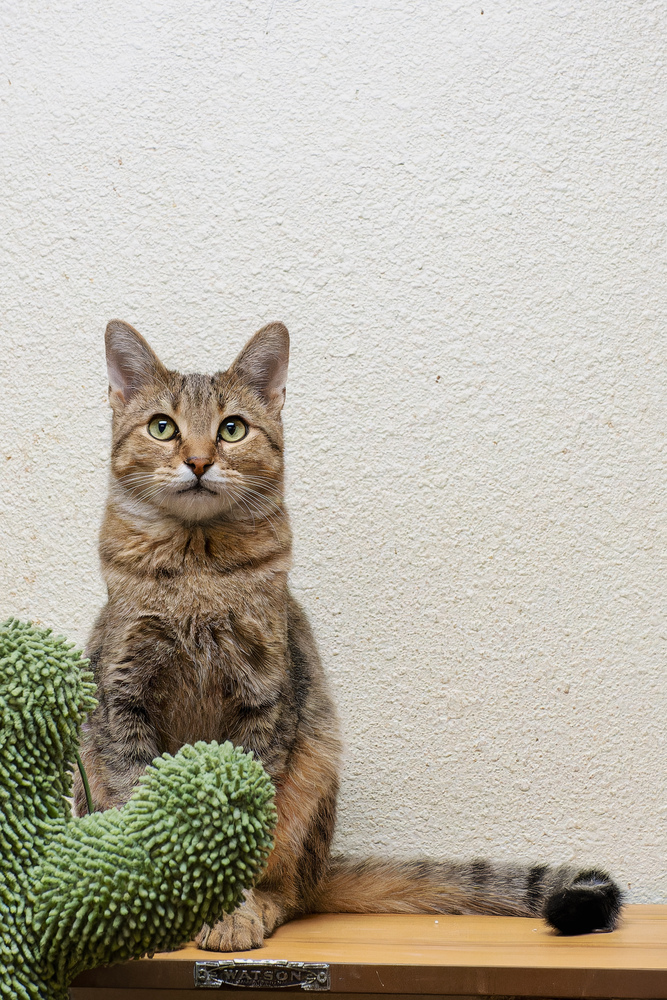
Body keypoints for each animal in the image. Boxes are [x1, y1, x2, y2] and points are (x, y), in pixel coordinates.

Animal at [75, 318, 624, 944]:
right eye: (162, 427)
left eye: (231, 429)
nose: (197, 461)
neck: (196, 569)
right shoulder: (123, 695)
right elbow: (135, 797)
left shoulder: (265, 698)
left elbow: (239, 825)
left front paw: (231, 911)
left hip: (314, 769)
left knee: (290, 892)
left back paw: (262, 906)